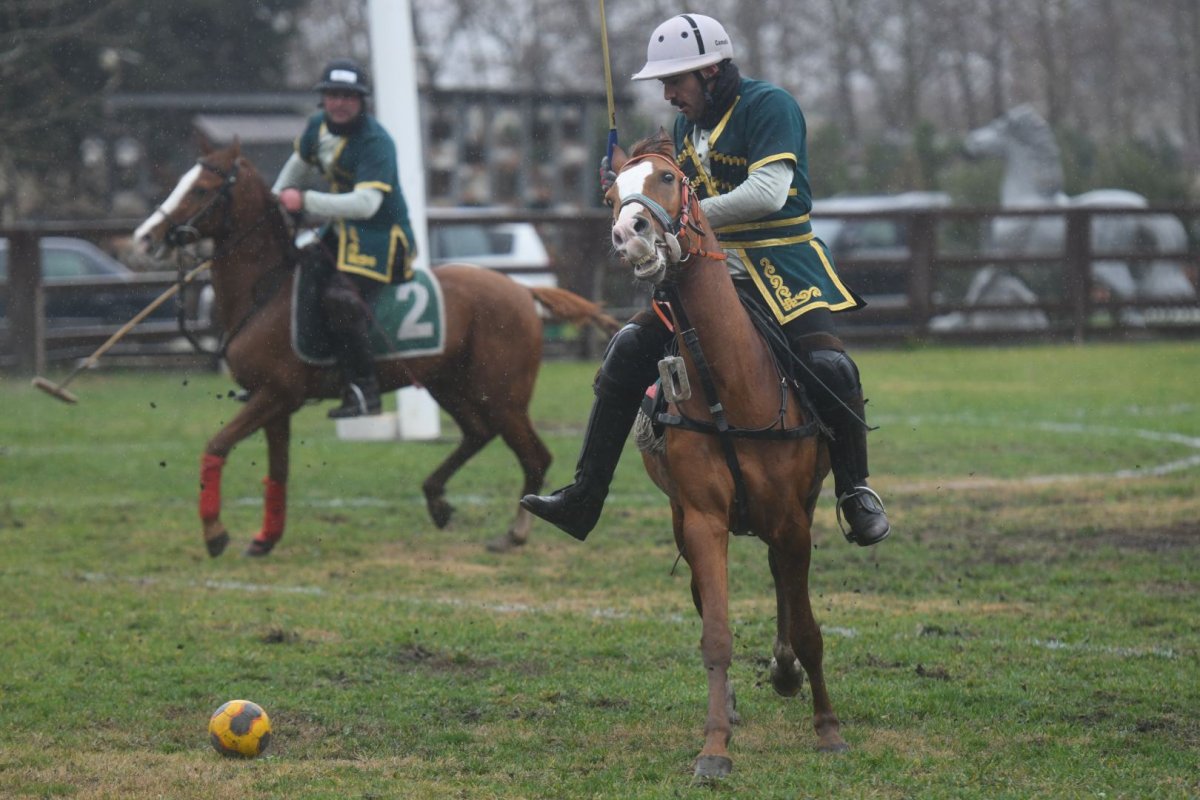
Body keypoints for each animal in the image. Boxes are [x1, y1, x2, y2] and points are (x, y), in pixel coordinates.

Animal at [136, 142, 614, 556]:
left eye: (201, 188)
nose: (146, 237)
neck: (266, 290)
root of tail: (522, 289)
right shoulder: (274, 403)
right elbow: (278, 470)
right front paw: (265, 538)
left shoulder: (275, 395)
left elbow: (217, 445)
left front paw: (215, 533)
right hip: (451, 385)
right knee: (478, 433)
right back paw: (437, 499)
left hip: (503, 397)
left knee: (534, 456)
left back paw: (513, 533)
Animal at [609, 133, 844, 782]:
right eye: (612, 193)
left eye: (668, 178)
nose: (629, 232)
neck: (732, 388)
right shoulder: (703, 519)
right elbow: (714, 632)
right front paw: (714, 745)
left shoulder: (791, 518)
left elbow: (808, 626)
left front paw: (827, 728)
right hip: (681, 519)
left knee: (785, 583)